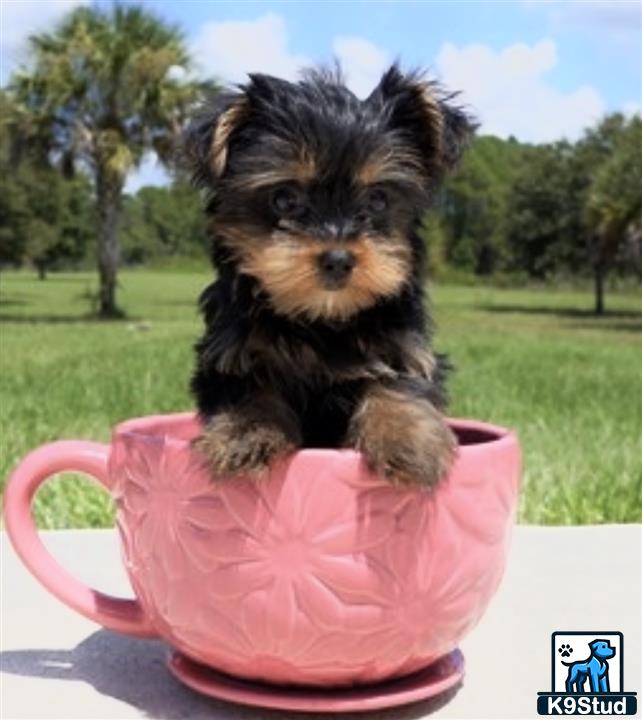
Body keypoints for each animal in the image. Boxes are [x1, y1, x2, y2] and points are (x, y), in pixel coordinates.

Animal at [186, 64, 476, 486]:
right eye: (285, 198)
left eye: (378, 200)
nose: (338, 258)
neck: (323, 317)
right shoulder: (230, 351)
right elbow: (248, 389)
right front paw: (245, 434)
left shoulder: (404, 345)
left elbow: (399, 381)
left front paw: (405, 440)